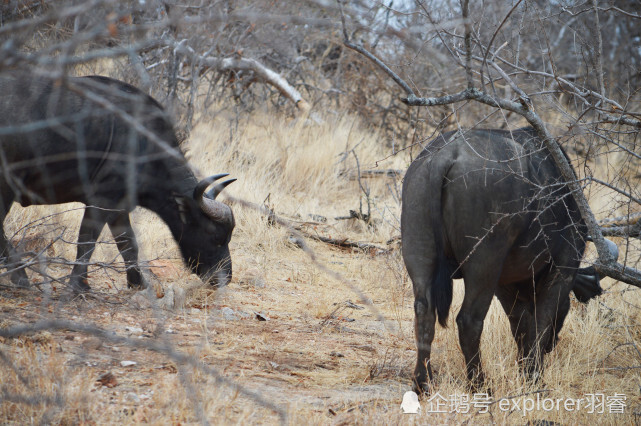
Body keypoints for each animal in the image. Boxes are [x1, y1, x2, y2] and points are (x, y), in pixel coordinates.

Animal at [0, 74, 235, 292]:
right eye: (216, 236)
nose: (225, 277)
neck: (142, 143)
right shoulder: (101, 200)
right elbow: (87, 241)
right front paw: (77, 285)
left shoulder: (119, 207)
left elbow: (128, 244)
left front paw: (138, 283)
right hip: (6, 188)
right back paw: (20, 276)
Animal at [400, 126, 608, 392]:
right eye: (568, 306)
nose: (553, 345)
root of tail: (444, 154)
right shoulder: (564, 265)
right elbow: (540, 320)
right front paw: (534, 376)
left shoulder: (505, 282)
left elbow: (520, 323)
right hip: (484, 263)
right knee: (469, 320)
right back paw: (479, 384)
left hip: (420, 252)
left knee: (424, 312)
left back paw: (422, 382)